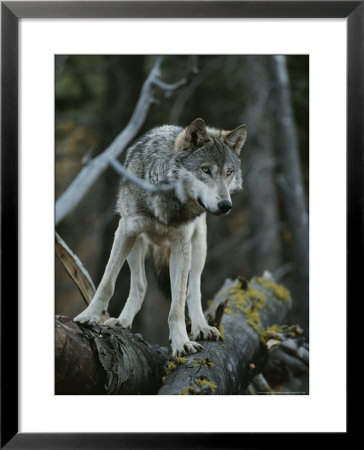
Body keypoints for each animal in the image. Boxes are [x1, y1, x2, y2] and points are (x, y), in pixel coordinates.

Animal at [74, 118, 247, 356]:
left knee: (193, 290)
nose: (225, 205)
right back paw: (122, 321)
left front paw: (181, 342)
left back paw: (202, 327)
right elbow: (106, 283)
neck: (168, 199)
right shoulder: (125, 230)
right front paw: (88, 316)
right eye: (205, 170)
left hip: (198, 247)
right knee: (140, 285)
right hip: (136, 244)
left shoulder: (182, 246)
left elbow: (177, 305)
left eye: (229, 172)